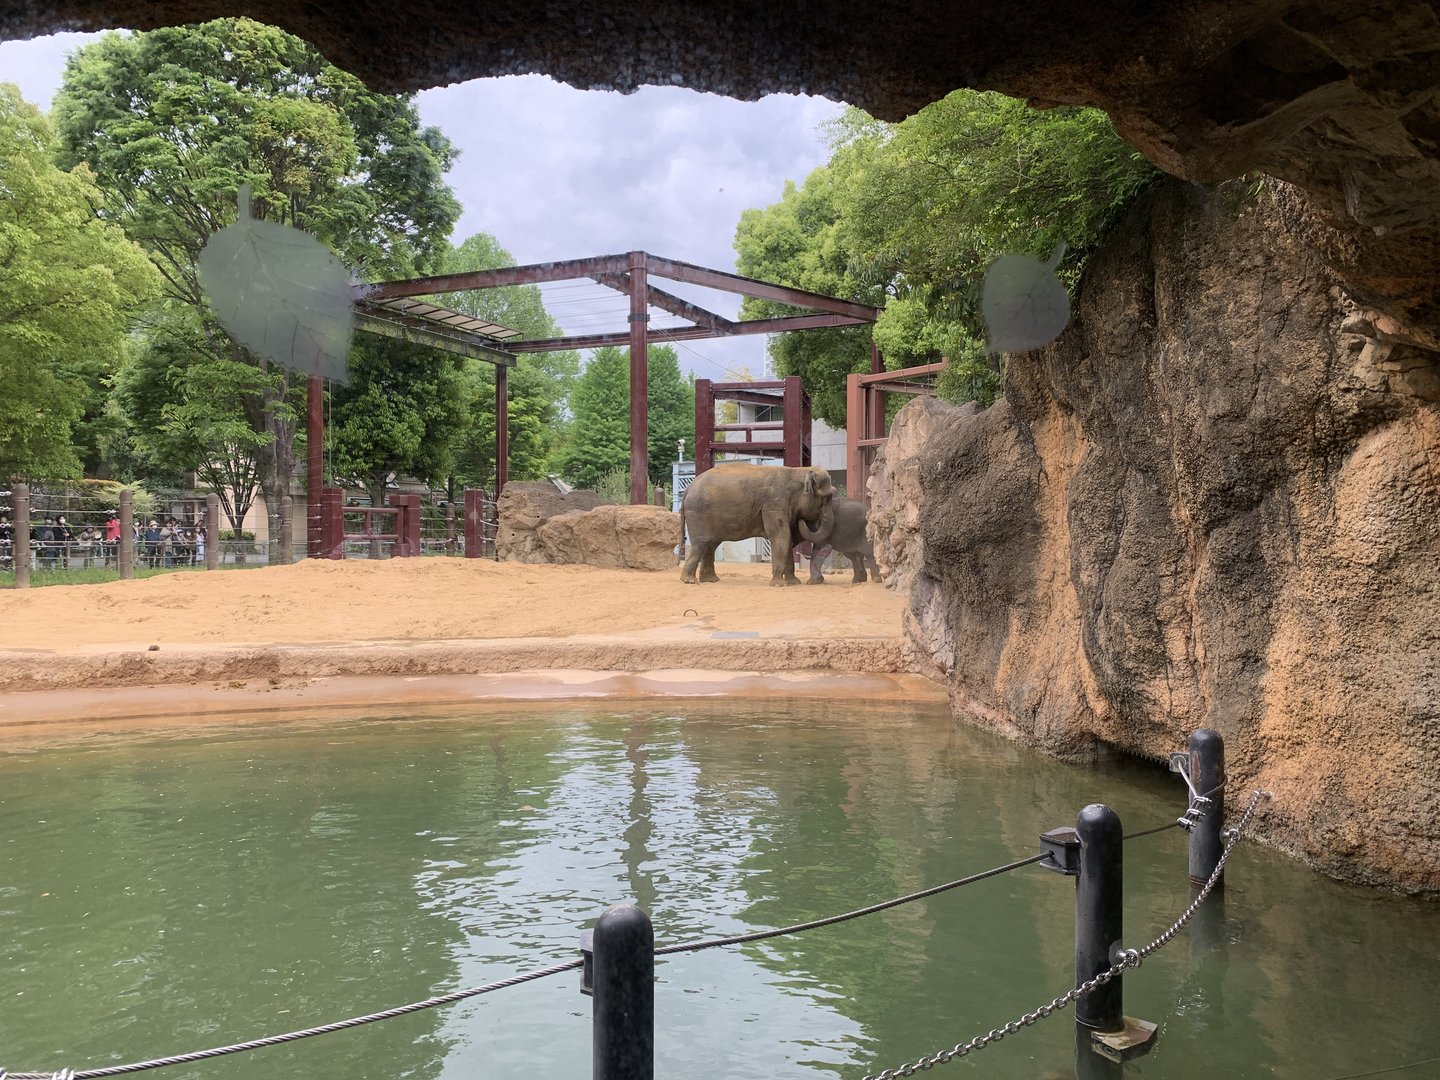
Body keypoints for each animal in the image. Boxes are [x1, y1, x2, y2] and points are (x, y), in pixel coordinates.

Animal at [680, 462, 836, 586]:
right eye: (827, 498)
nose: (802, 521)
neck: (799, 471)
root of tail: (688, 489)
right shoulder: (774, 505)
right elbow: (781, 536)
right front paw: (779, 585)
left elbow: (787, 538)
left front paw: (793, 583)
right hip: (698, 513)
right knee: (702, 543)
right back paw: (689, 581)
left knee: (711, 545)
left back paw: (710, 580)